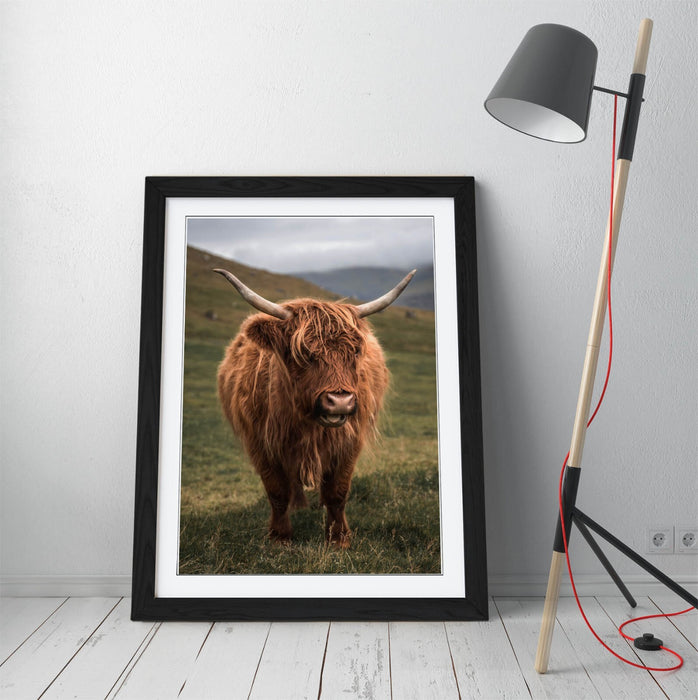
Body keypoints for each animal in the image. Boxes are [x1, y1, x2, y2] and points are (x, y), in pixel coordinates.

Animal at [214, 267, 415, 548]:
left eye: (355, 351)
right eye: (303, 353)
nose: (340, 401)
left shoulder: (349, 442)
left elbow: (337, 492)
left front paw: (339, 538)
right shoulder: (260, 443)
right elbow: (277, 492)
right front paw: (280, 537)